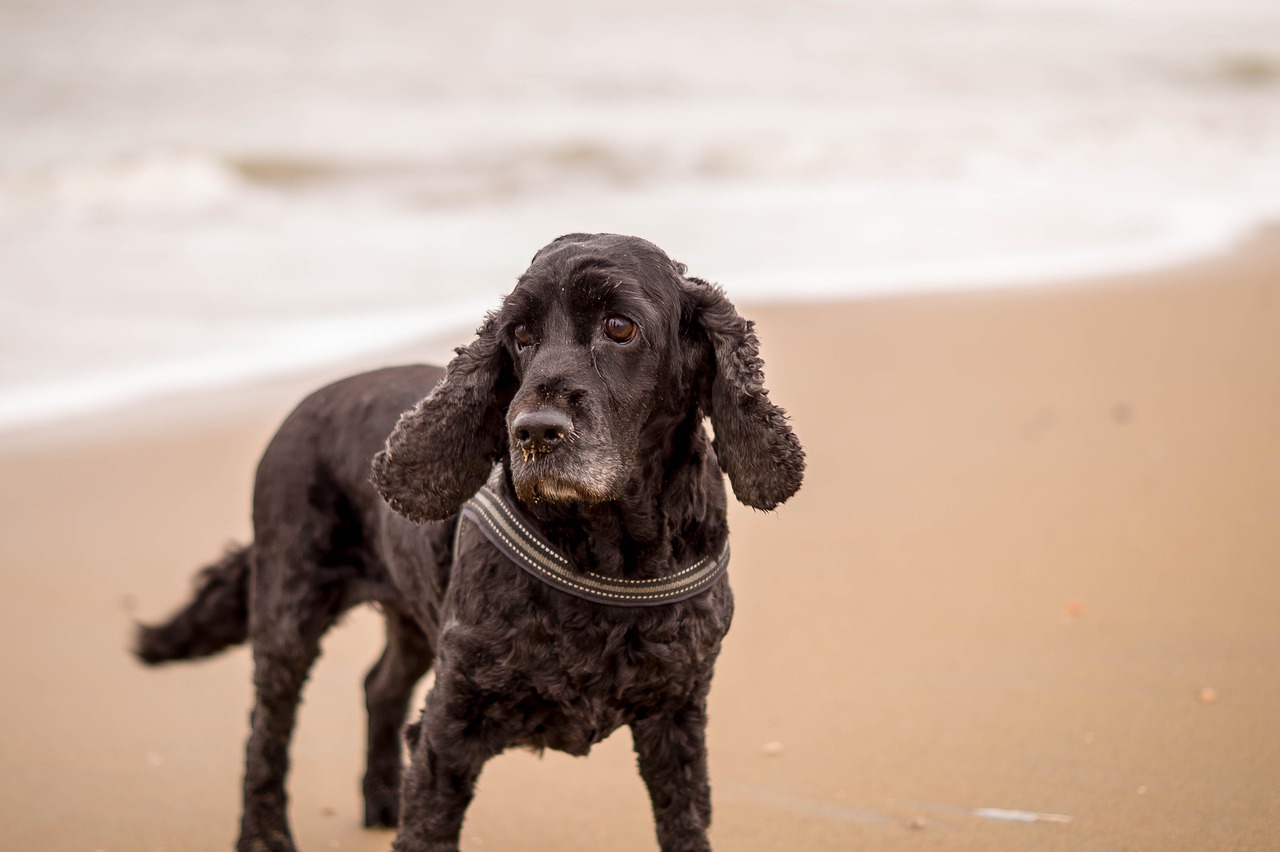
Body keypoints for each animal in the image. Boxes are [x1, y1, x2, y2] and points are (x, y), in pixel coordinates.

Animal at [137, 232, 798, 849]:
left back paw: (381, 801)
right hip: (288, 608)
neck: (608, 555)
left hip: (411, 616)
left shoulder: (677, 716)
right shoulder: (450, 728)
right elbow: (427, 825)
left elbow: (684, 824)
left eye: (620, 327)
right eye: (521, 334)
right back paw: (264, 834)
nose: (533, 432)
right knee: (266, 729)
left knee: (378, 686)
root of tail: (305, 404)